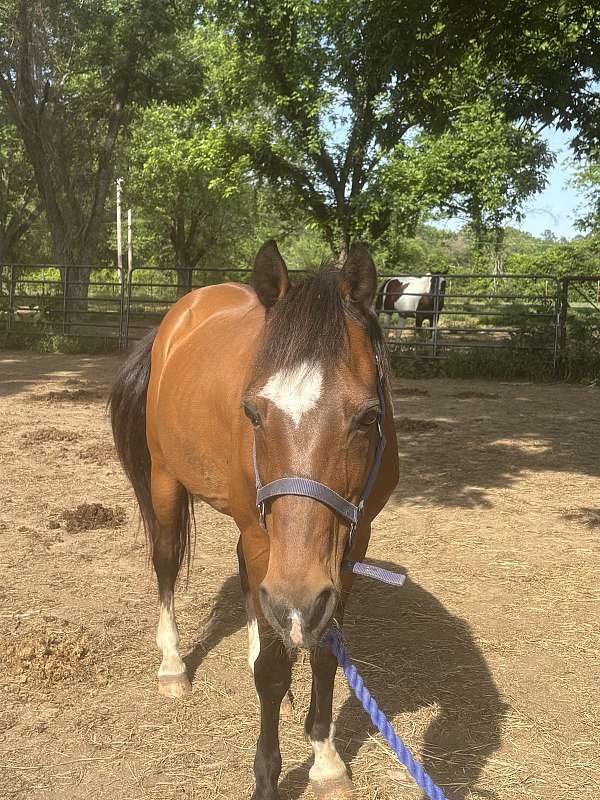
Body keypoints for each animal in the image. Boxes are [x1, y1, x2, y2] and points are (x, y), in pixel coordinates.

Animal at [109, 241, 399, 800]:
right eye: (253, 413)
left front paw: (326, 760)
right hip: (167, 483)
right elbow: (272, 672)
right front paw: (268, 774)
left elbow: (325, 656)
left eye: (369, 417)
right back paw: (172, 664)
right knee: (166, 562)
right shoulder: (276, 551)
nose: (296, 598)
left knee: (249, 580)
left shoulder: (348, 549)